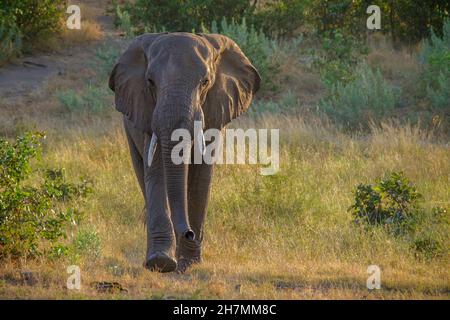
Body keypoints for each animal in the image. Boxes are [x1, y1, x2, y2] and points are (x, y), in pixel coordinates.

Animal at [108, 31, 260, 272]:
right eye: (150, 82)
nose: (188, 233)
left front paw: (188, 264)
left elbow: (200, 176)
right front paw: (160, 262)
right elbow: (157, 171)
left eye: (205, 82)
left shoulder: (213, 112)